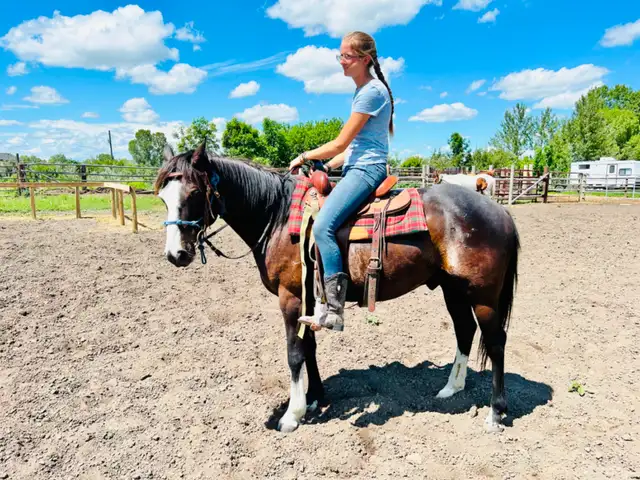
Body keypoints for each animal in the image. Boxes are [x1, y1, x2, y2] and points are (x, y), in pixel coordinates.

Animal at [154, 143, 520, 433]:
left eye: (194, 193)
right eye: (162, 197)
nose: (176, 255)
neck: (277, 215)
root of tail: (499, 210)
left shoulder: (291, 298)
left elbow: (294, 354)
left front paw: (292, 415)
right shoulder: (307, 299)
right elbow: (310, 348)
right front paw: (315, 399)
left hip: (484, 296)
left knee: (496, 342)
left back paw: (495, 412)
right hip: (452, 289)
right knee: (464, 331)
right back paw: (452, 387)